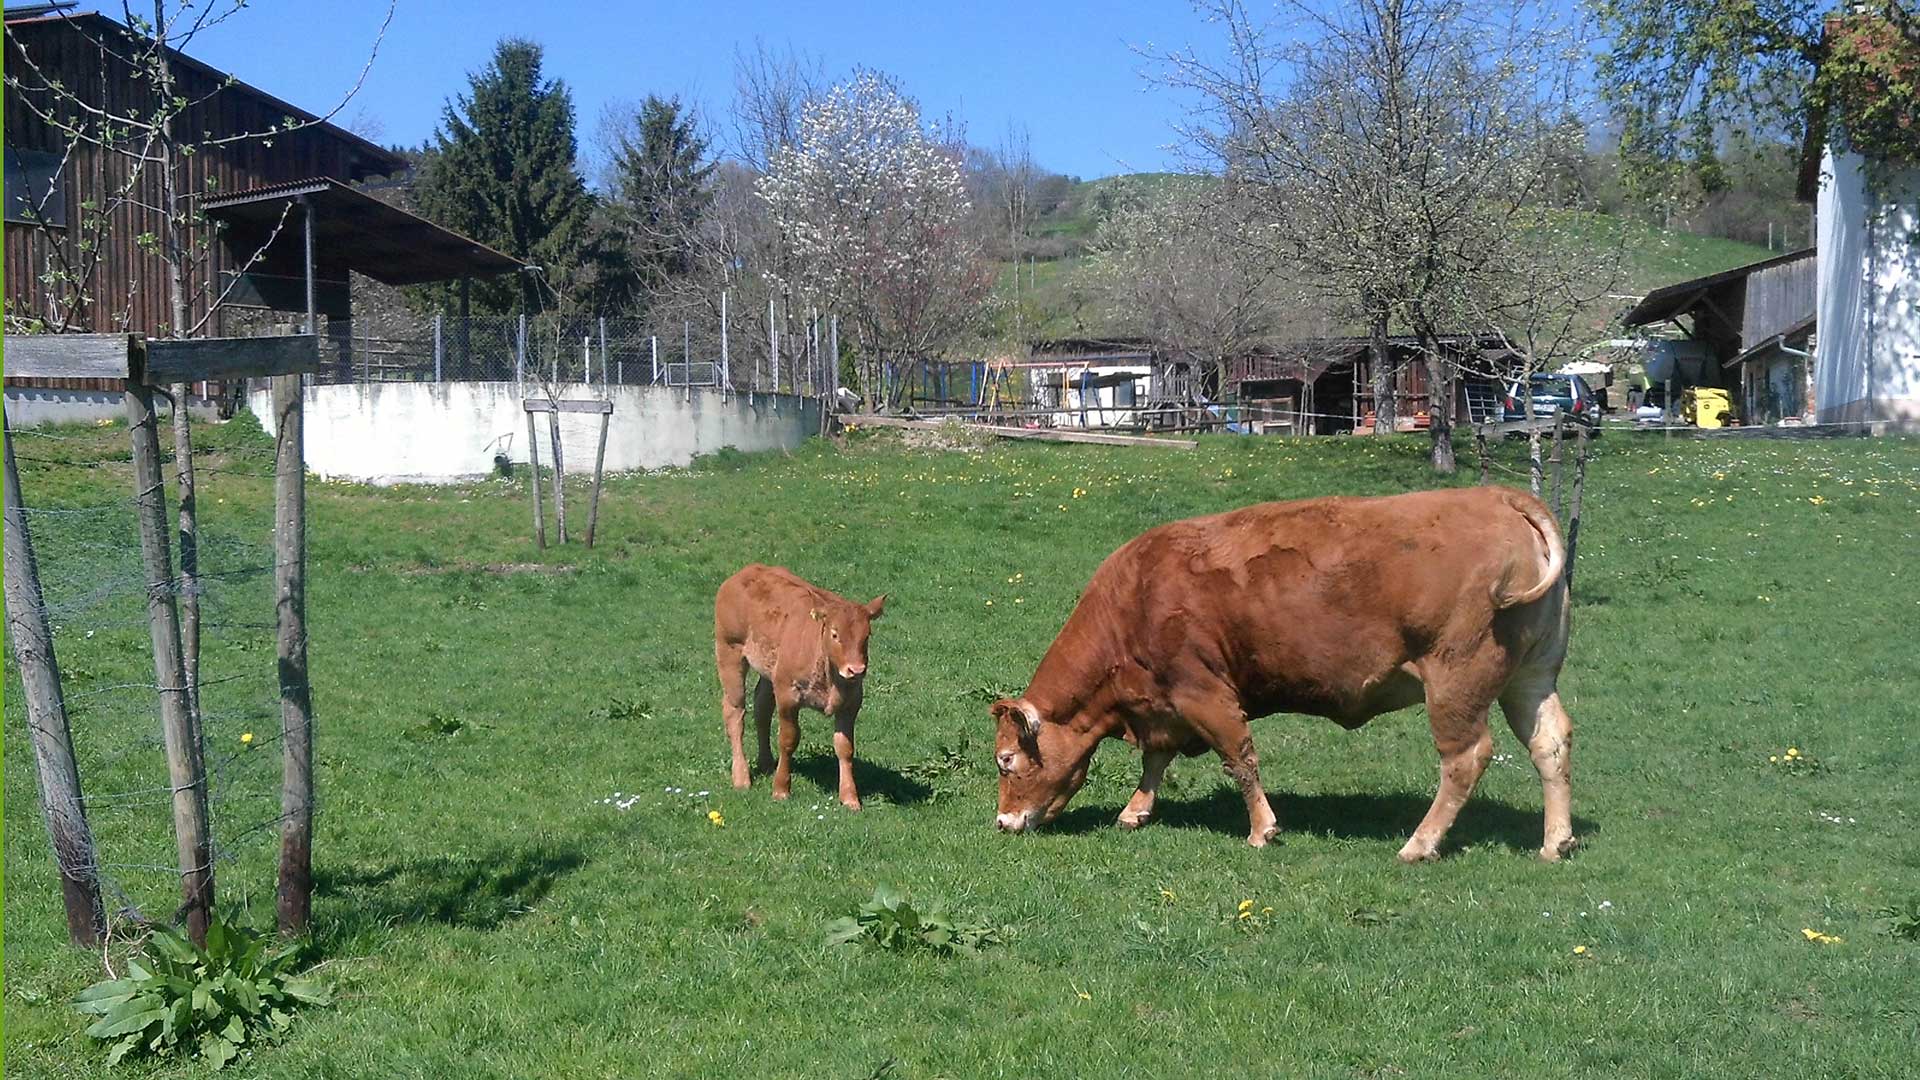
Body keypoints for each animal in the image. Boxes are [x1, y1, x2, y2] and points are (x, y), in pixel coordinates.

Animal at [714, 564, 883, 807]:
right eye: (835, 634)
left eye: (867, 635)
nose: (856, 669)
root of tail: (745, 572)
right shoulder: (788, 695)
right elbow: (788, 739)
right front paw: (781, 789)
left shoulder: (852, 702)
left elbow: (845, 747)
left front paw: (850, 798)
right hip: (729, 651)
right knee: (735, 711)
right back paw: (741, 777)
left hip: (770, 671)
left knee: (762, 708)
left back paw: (767, 763)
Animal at [990, 486, 1574, 857]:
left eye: (1006, 761)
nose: (1002, 821)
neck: (1136, 597)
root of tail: (1497, 495)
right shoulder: (1163, 704)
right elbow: (1156, 760)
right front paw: (1136, 812)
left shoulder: (1204, 693)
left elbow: (1239, 759)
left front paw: (1262, 830)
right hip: (1531, 677)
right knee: (1550, 742)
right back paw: (1555, 842)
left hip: (1457, 682)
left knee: (1465, 759)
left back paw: (1419, 844)